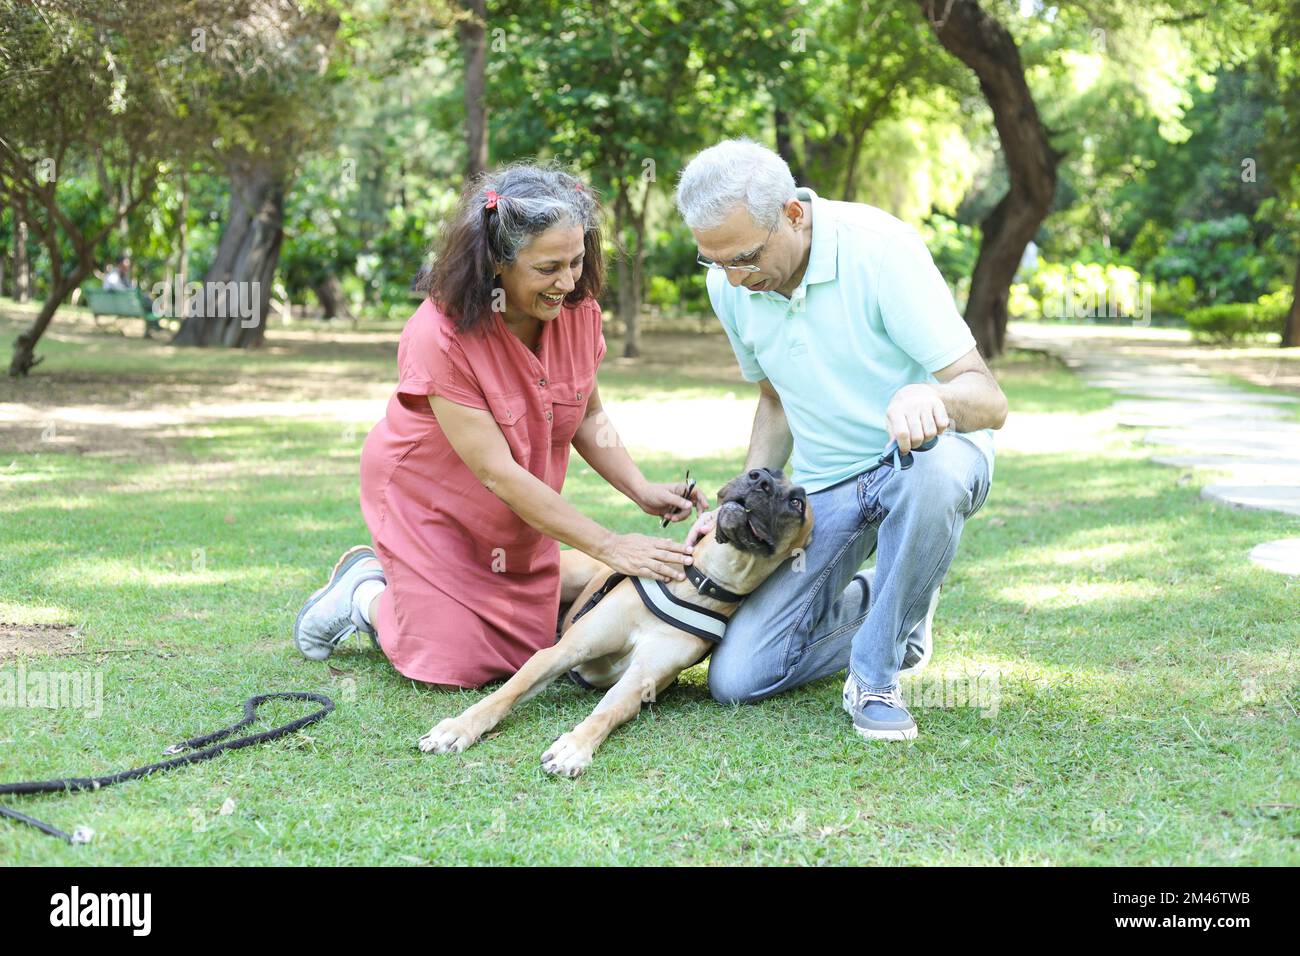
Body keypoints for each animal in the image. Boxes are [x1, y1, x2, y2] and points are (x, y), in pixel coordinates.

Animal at [416, 465, 811, 780]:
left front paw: (574, 746)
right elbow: (506, 693)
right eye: (761, 471)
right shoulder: (563, 651)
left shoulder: (641, 680)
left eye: (797, 503)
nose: (758, 479)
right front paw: (458, 728)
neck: (700, 581)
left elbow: (607, 712)